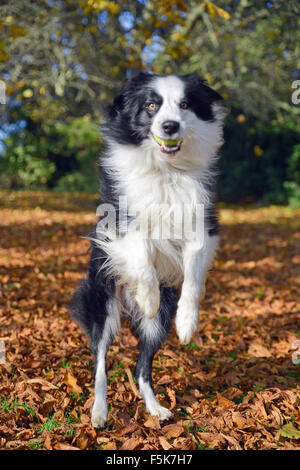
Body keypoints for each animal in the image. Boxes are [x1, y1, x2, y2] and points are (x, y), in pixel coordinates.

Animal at [71, 71, 225, 428]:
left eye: (185, 104)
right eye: (151, 106)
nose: (169, 126)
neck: (166, 170)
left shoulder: (203, 227)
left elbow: (192, 278)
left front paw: (188, 325)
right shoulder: (120, 223)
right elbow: (143, 261)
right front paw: (149, 298)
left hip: (157, 327)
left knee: (142, 366)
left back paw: (156, 409)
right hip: (102, 302)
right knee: (100, 362)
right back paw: (99, 412)